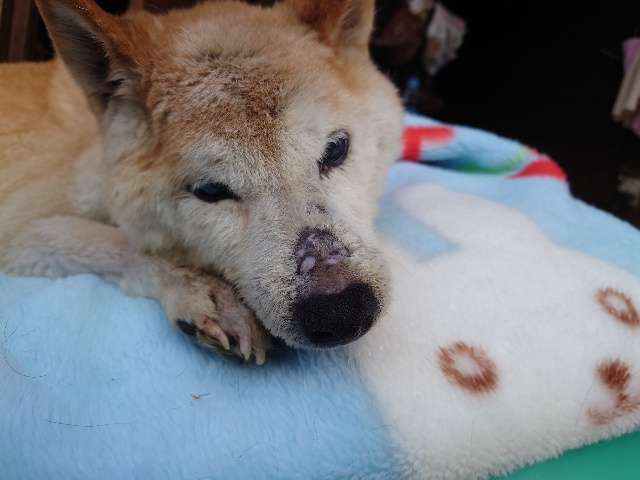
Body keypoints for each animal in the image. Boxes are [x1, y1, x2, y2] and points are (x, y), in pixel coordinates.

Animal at [0, 0, 403, 364]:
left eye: (336, 149)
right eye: (210, 191)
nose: (342, 310)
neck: (94, 146)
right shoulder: (21, 235)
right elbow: (118, 243)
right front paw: (206, 292)